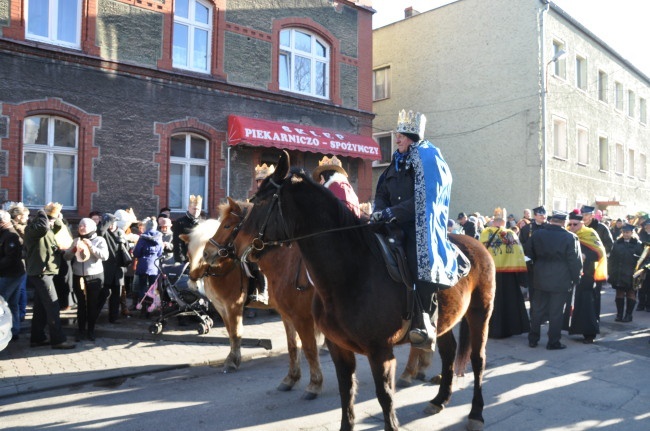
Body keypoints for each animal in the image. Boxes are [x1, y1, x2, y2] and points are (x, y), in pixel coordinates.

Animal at [182, 214, 324, 400]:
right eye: (189, 253)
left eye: (202, 253)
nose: (192, 278)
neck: (225, 266)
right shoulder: (221, 307)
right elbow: (231, 333)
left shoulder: (233, 305)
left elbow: (236, 333)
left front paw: (232, 362)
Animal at [220, 153, 494, 431]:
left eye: (262, 201)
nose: (234, 247)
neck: (351, 272)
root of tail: (476, 244)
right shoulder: (337, 346)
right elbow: (346, 391)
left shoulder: (379, 352)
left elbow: (384, 397)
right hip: (445, 321)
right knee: (449, 353)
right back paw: (439, 399)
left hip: (480, 313)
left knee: (478, 360)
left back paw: (475, 413)